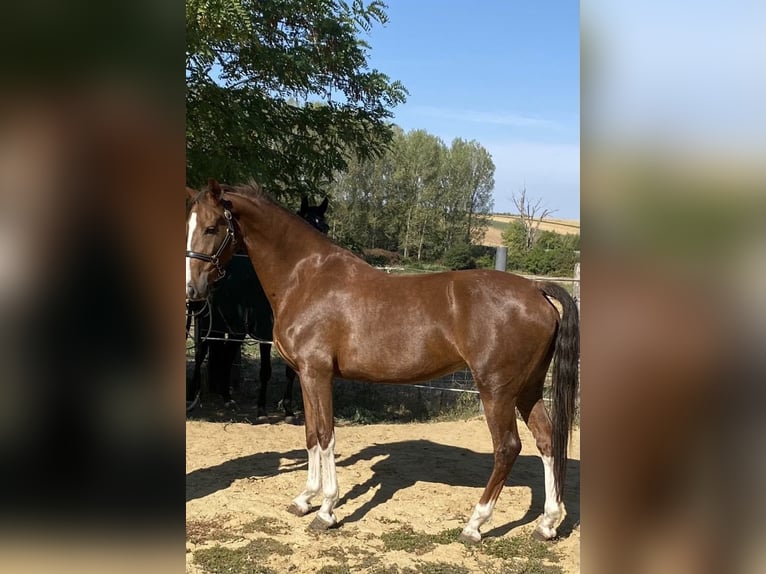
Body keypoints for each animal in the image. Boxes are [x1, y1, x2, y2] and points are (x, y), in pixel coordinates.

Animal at [186, 195, 329, 421]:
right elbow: (265, 370)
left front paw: (288, 409)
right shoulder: (264, 334)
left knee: (226, 356)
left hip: (232, 329)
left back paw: (227, 397)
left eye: (325, 227)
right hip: (210, 325)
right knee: (201, 354)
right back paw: (193, 394)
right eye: (306, 221)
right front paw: (261, 408)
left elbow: (290, 372)